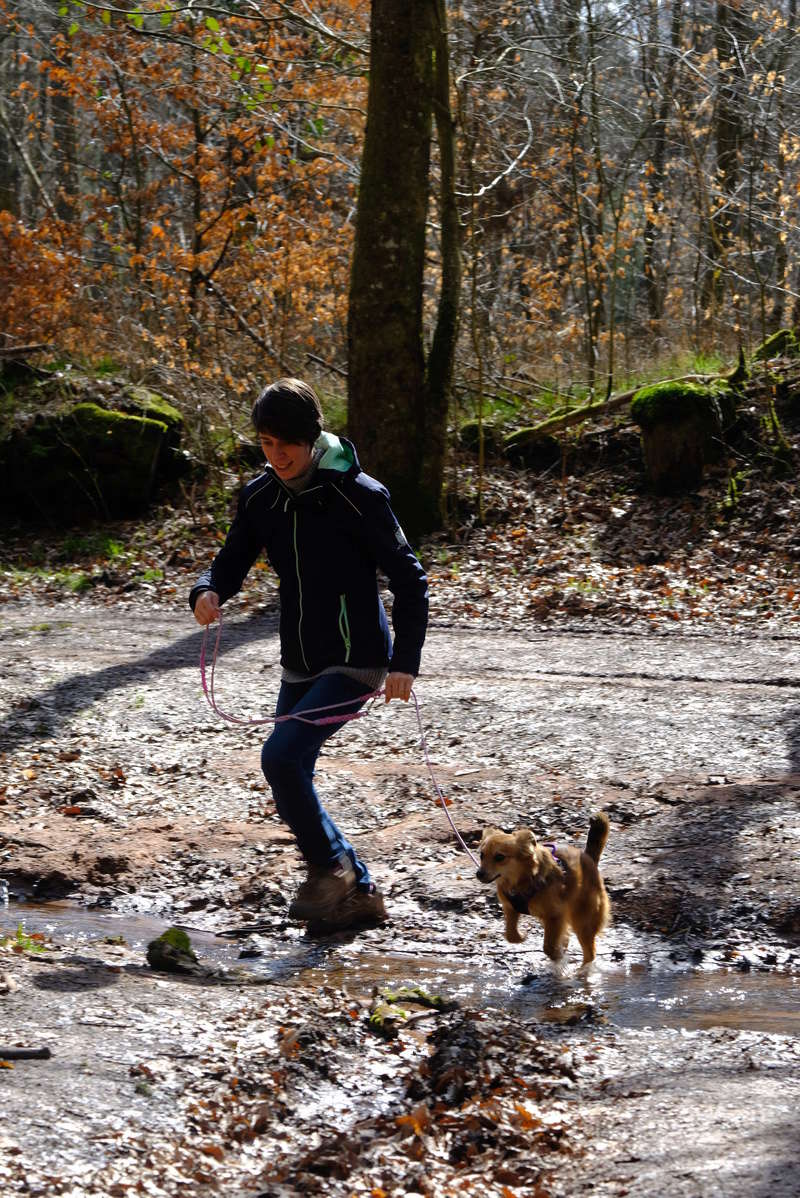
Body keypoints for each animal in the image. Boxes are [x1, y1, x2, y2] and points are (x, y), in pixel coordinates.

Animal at [479, 809, 608, 967]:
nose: (479, 873)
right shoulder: (510, 908)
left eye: (499, 857)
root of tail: (589, 857)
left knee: (590, 953)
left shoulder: (555, 915)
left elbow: (549, 947)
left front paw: (557, 956)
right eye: (481, 855)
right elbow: (510, 935)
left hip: (584, 921)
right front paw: (521, 937)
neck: (523, 880)